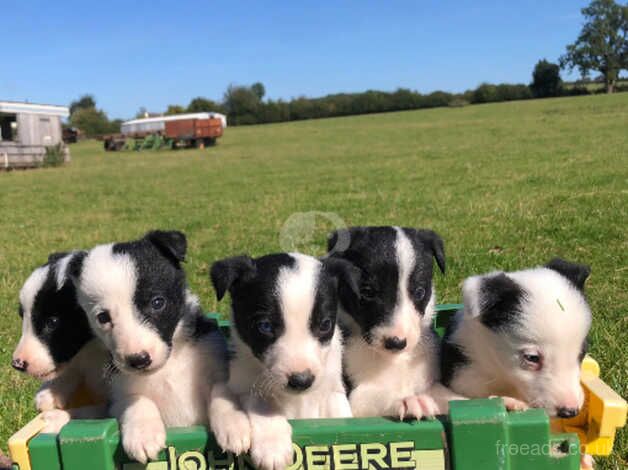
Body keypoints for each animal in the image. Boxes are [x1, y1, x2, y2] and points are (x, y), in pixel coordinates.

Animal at [11, 252, 109, 432]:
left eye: (52, 322)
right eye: (22, 316)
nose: (17, 364)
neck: (93, 350)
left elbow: (96, 412)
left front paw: (56, 419)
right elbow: (70, 368)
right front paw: (50, 391)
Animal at [70, 230, 227, 462]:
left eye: (157, 302)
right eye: (102, 317)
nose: (138, 360)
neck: (168, 368)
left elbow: (222, 390)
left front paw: (236, 426)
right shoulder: (117, 395)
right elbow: (136, 401)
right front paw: (143, 435)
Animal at [210, 253, 356, 470]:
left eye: (325, 324)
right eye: (265, 326)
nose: (301, 381)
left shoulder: (332, 390)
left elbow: (341, 417)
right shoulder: (244, 383)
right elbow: (261, 403)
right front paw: (273, 447)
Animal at [328, 226, 446, 420]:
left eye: (419, 292)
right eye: (367, 292)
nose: (396, 343)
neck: (395, 359)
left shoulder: (429, 380)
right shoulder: (357, 395)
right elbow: (381, 395)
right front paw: (408, 400)